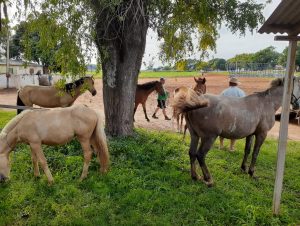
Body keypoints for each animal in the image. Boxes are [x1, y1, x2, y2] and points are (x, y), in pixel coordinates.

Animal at [172, 77, 300, 186]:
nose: (297, 106)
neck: (267, 102)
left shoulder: (250, 134)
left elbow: (247, 150)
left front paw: (243, 168)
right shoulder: (261, 134)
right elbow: (255, 153)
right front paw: (251, 172)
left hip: (195, 136)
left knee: (192, 153)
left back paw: (195, 176)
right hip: (209, 137)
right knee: (200, 155)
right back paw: (208, 179)